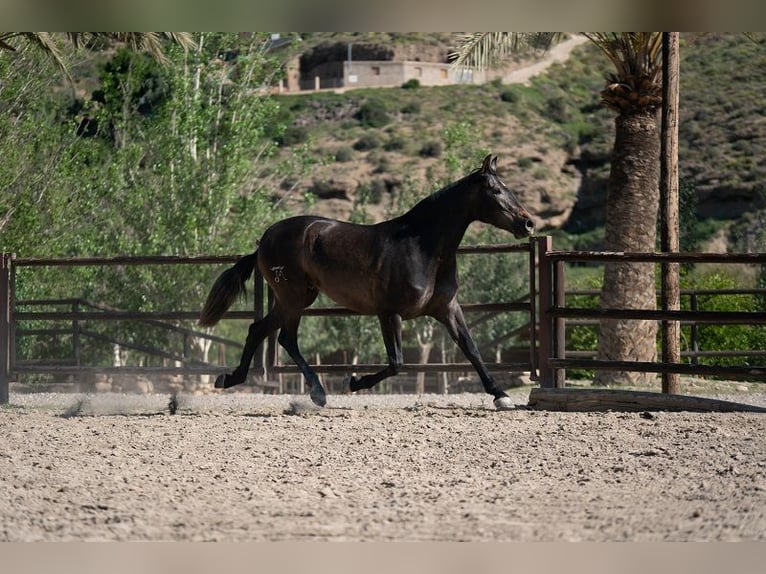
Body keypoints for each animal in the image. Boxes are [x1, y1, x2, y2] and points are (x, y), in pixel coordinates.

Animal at [201, 155, 536, 412]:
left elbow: (472, 349)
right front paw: (353, 381)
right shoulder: (389, 313)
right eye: (495, 190)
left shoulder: (447, 309)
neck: (423, 247)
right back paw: (307, 390)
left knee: (268, 333)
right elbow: (396, 362)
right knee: (278, 336)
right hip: (293, 297)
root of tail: (265, 239)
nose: (528, 223)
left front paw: (501, 396)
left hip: (296, 298)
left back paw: (247, 381)